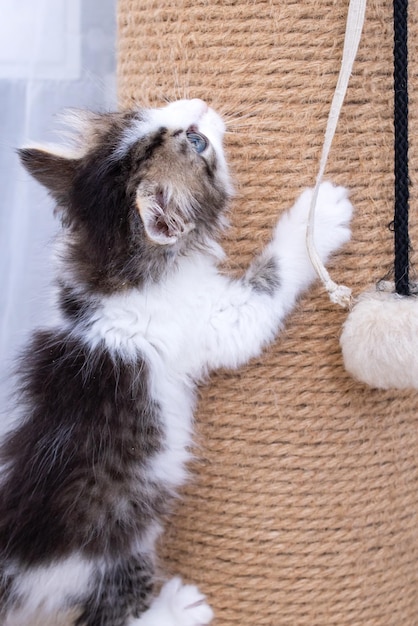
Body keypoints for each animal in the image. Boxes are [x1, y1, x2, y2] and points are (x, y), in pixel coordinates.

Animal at [0, 98, 352, 624]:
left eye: (144, 111)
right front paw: (318, 219)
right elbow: (268, 283)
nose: (199, 105)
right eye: (197, 143)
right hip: (102, 558)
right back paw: (180, 606)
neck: (115, 266)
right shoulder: (214, 319)